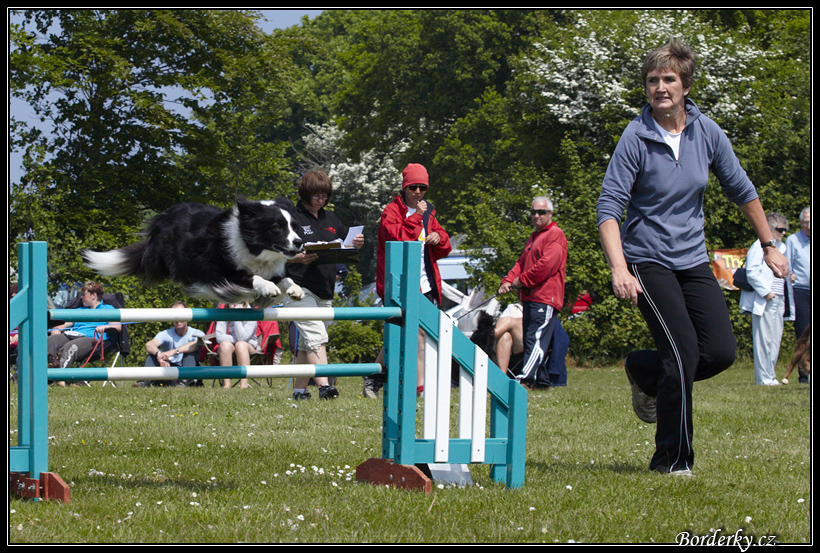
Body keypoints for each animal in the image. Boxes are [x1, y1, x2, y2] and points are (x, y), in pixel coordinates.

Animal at [82, 194, 304, 308]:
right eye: (277, 228)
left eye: (295, 226)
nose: (299, 242)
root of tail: (164, 215)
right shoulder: (220, 273)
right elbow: (251, 278)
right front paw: (268, 287)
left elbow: (284, 279)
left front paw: (295, 289)